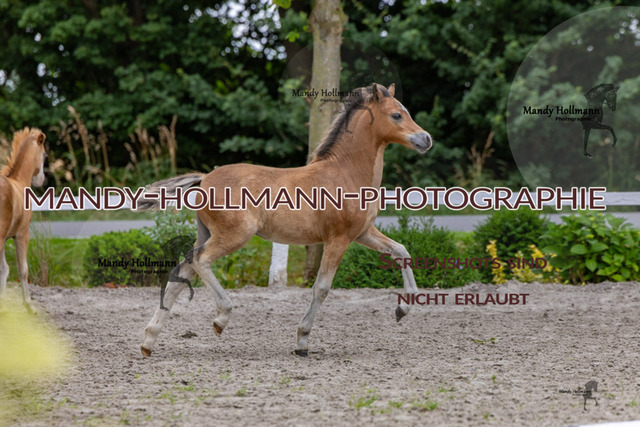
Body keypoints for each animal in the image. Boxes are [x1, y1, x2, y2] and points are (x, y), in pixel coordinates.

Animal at [0, 128, 47, 313]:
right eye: (44, 155)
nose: (42, 180)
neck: (19, 182)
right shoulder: (22, 234)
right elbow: (23, 270)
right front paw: (29, 305)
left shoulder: (6, 238)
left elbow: (4, 269)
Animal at [137, 83, 433, 357]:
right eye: (396, 115)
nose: (426, 139)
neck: (346, 173)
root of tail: (204, 179)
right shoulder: (338, 239)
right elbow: (322, 287)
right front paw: (302, 340)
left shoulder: (362, 233)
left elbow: (401, 251)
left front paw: (403, 308)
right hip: (234, 235)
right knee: (201, 261)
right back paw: (221, 318)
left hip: (207, 233)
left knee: (182, 271)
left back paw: (149, 341)